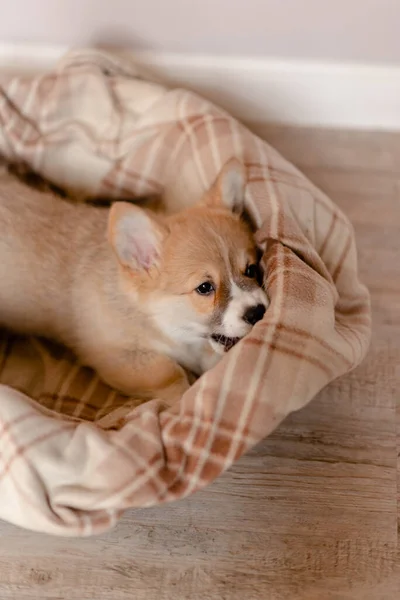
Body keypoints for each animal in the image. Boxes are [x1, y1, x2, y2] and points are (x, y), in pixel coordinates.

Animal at [0, 158, 268, 408]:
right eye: (205, 288)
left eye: (251, 269)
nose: (258, 313)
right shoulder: (119, 356)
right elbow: (168, 373)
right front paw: (183, 397)